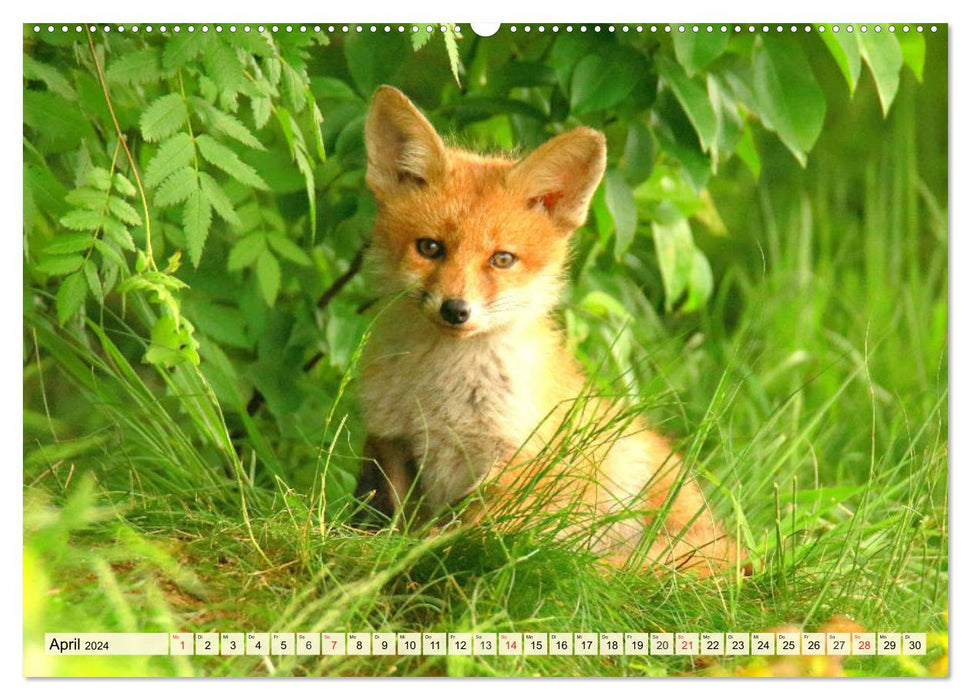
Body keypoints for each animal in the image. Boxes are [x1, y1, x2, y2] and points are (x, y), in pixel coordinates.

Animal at [354, 87, 748, 576]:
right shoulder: (392, 439)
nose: (456, 310)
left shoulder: (516, 461)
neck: (440, 394)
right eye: (429, 248)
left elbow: (465, 533)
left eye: (502, 259)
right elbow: (394, 518)